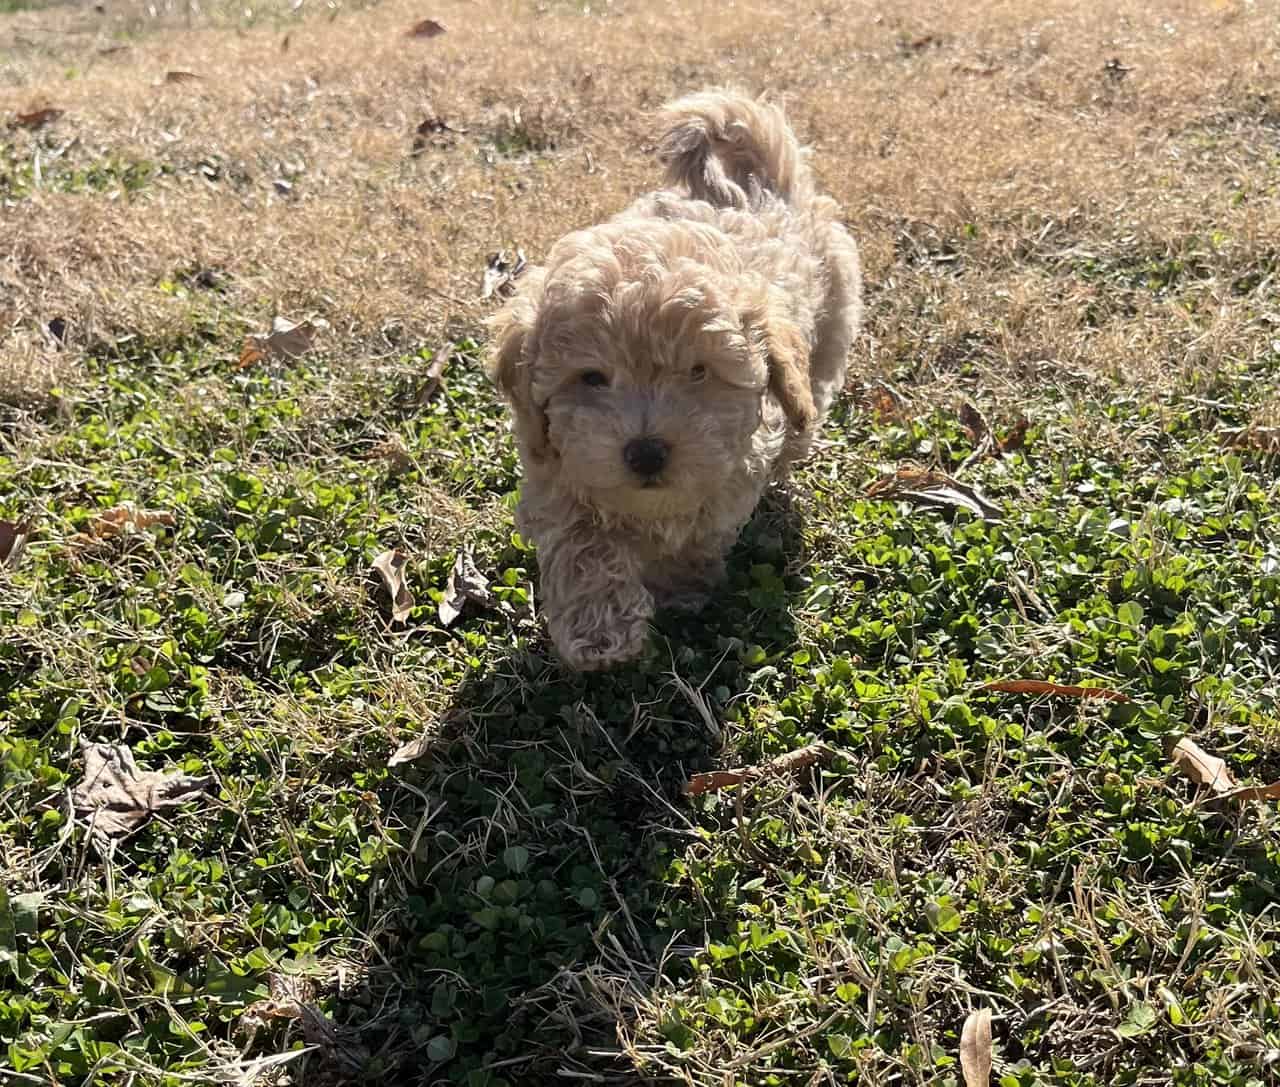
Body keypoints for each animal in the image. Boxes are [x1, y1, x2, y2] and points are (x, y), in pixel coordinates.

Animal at [486, 90, 860, 670]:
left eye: (699, 373)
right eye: (591, 377)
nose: (646, 452)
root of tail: (758, 186)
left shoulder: (727, 479)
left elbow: (695, 536)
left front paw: (679, 588)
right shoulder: (554, 463)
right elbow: (581, 538)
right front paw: (597, 627)